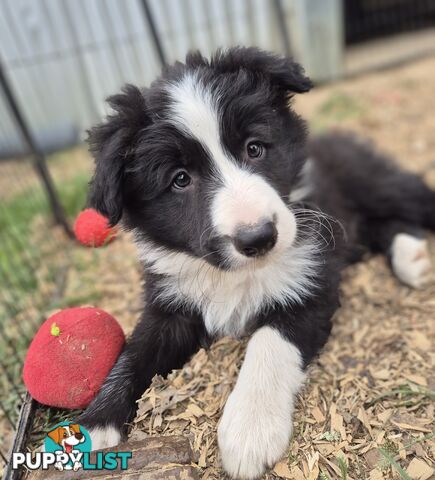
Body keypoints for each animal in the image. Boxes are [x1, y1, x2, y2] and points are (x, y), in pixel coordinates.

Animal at [79, 47, 435, 478]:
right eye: (180, 179)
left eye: (254, 148)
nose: (259, 237)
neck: (233, 275)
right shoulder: (170, 303)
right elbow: (134, 351)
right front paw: (96, 423)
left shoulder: (310, 282)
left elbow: (269, 343)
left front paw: (250, 429)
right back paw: (412, 258)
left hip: (376, 185)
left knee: (414, 199)